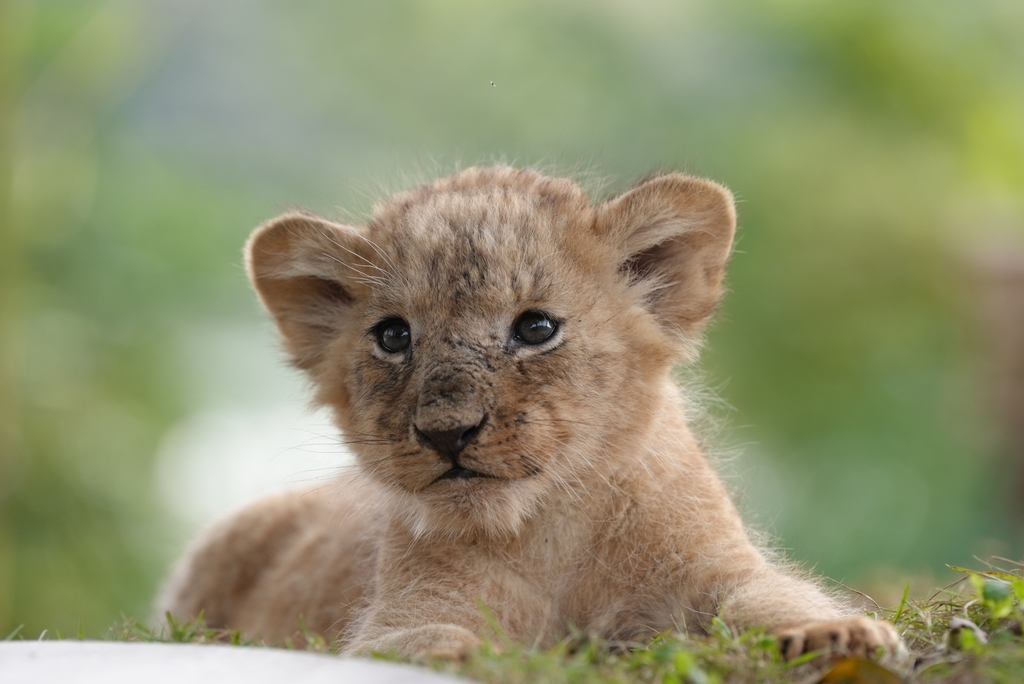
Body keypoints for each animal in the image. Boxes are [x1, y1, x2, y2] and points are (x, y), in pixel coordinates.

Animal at [158, 166, 904, 662]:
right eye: (394, 336)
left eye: (536, 327)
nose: (447, 433)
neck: (551, 530)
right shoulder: (398, 614)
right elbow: (424, 640)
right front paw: (477, 657)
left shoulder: (718, 568)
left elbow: (771, 597)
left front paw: (837, 634)